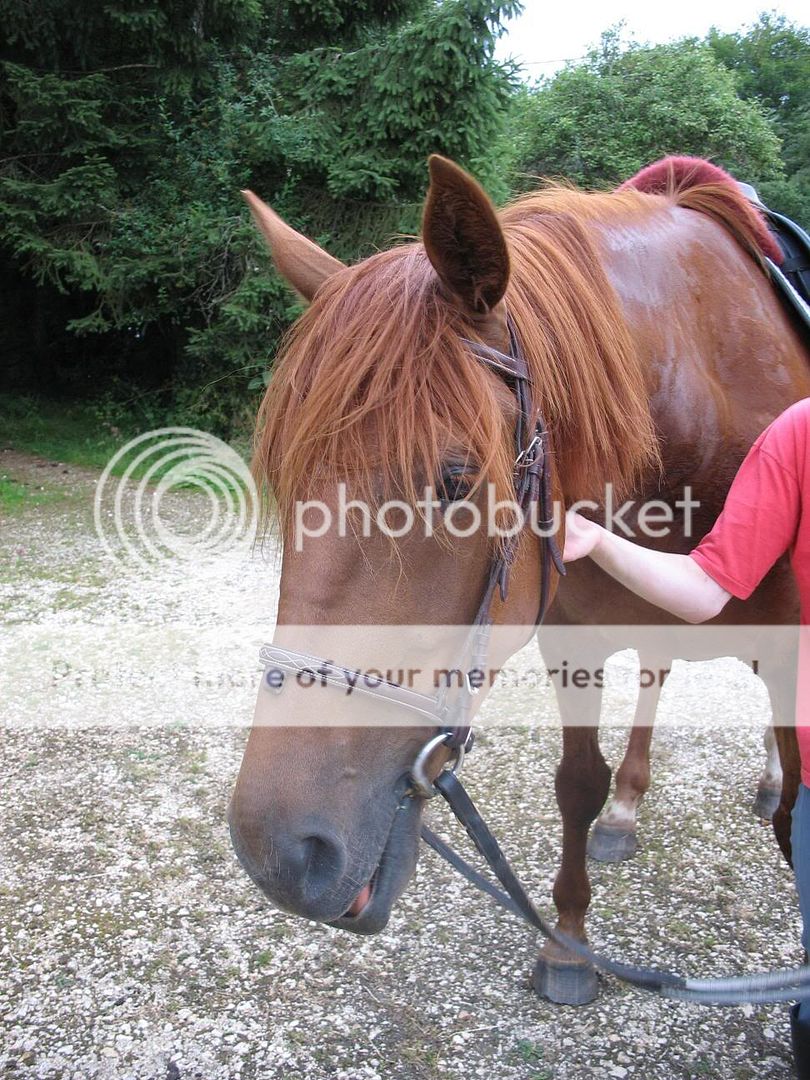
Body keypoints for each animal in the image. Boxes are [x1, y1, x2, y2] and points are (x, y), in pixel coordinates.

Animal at [228, 154, 810, 1002]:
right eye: (285, 477)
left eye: (456, 479)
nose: (279, 854)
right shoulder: (574, 639)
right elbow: (577, 781)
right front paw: (569, 944)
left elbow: (797, 811)